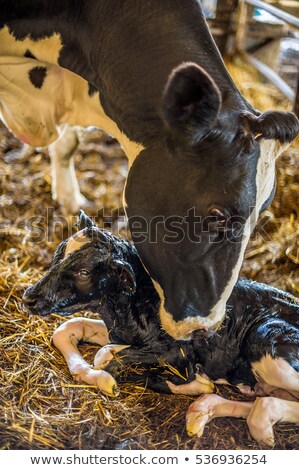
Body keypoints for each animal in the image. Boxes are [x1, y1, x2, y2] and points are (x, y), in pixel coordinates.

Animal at [23, 211, 299, 446]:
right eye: (58, 253)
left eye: (83, 272)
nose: (29, 297)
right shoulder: (121, 332)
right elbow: (67, 328)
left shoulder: (176, 352)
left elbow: (105, 356)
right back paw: (201, 410)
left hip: (267, 338)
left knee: (267, 404)